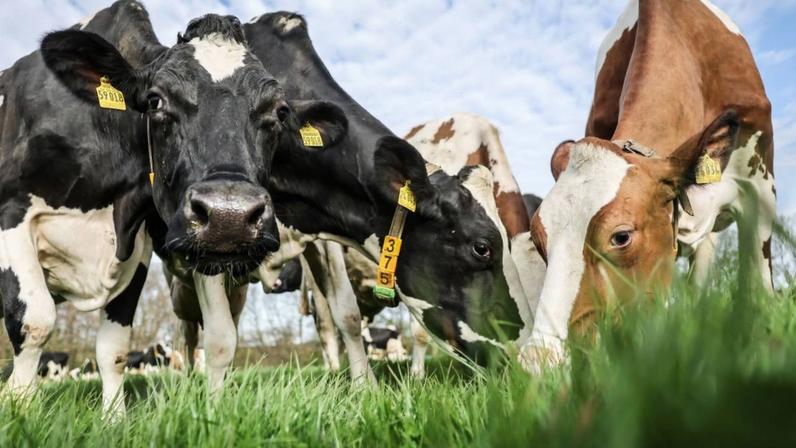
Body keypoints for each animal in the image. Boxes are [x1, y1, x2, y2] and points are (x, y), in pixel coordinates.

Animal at [0, 2, 344, 413]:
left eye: (278, 112)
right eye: (155, 100)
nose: (229, 215)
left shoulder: (136, 246)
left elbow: (117, 349)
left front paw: (116, 419)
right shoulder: (11, 211)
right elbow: (33, 321)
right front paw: (18, 409)